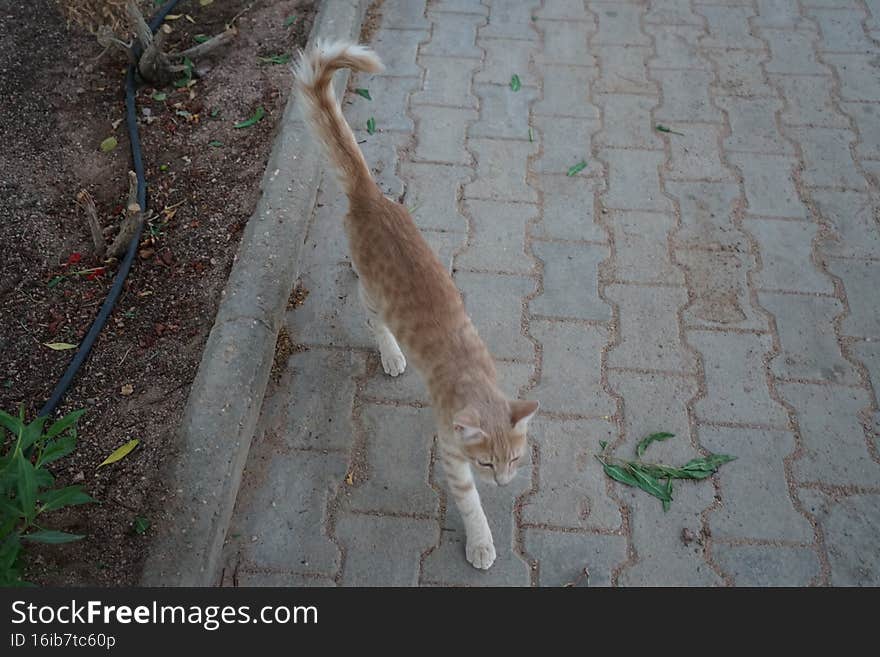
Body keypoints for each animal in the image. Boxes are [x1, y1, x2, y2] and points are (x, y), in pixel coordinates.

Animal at [294, 41, 536, 568]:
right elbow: (470, 506)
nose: (504, 482)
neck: (475, 378)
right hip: (375, 299)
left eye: (515, 458)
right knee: (372, 319)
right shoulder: (451, 453)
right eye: (486, 462)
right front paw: (481, 542)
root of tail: (371, 196)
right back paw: (391, 354)